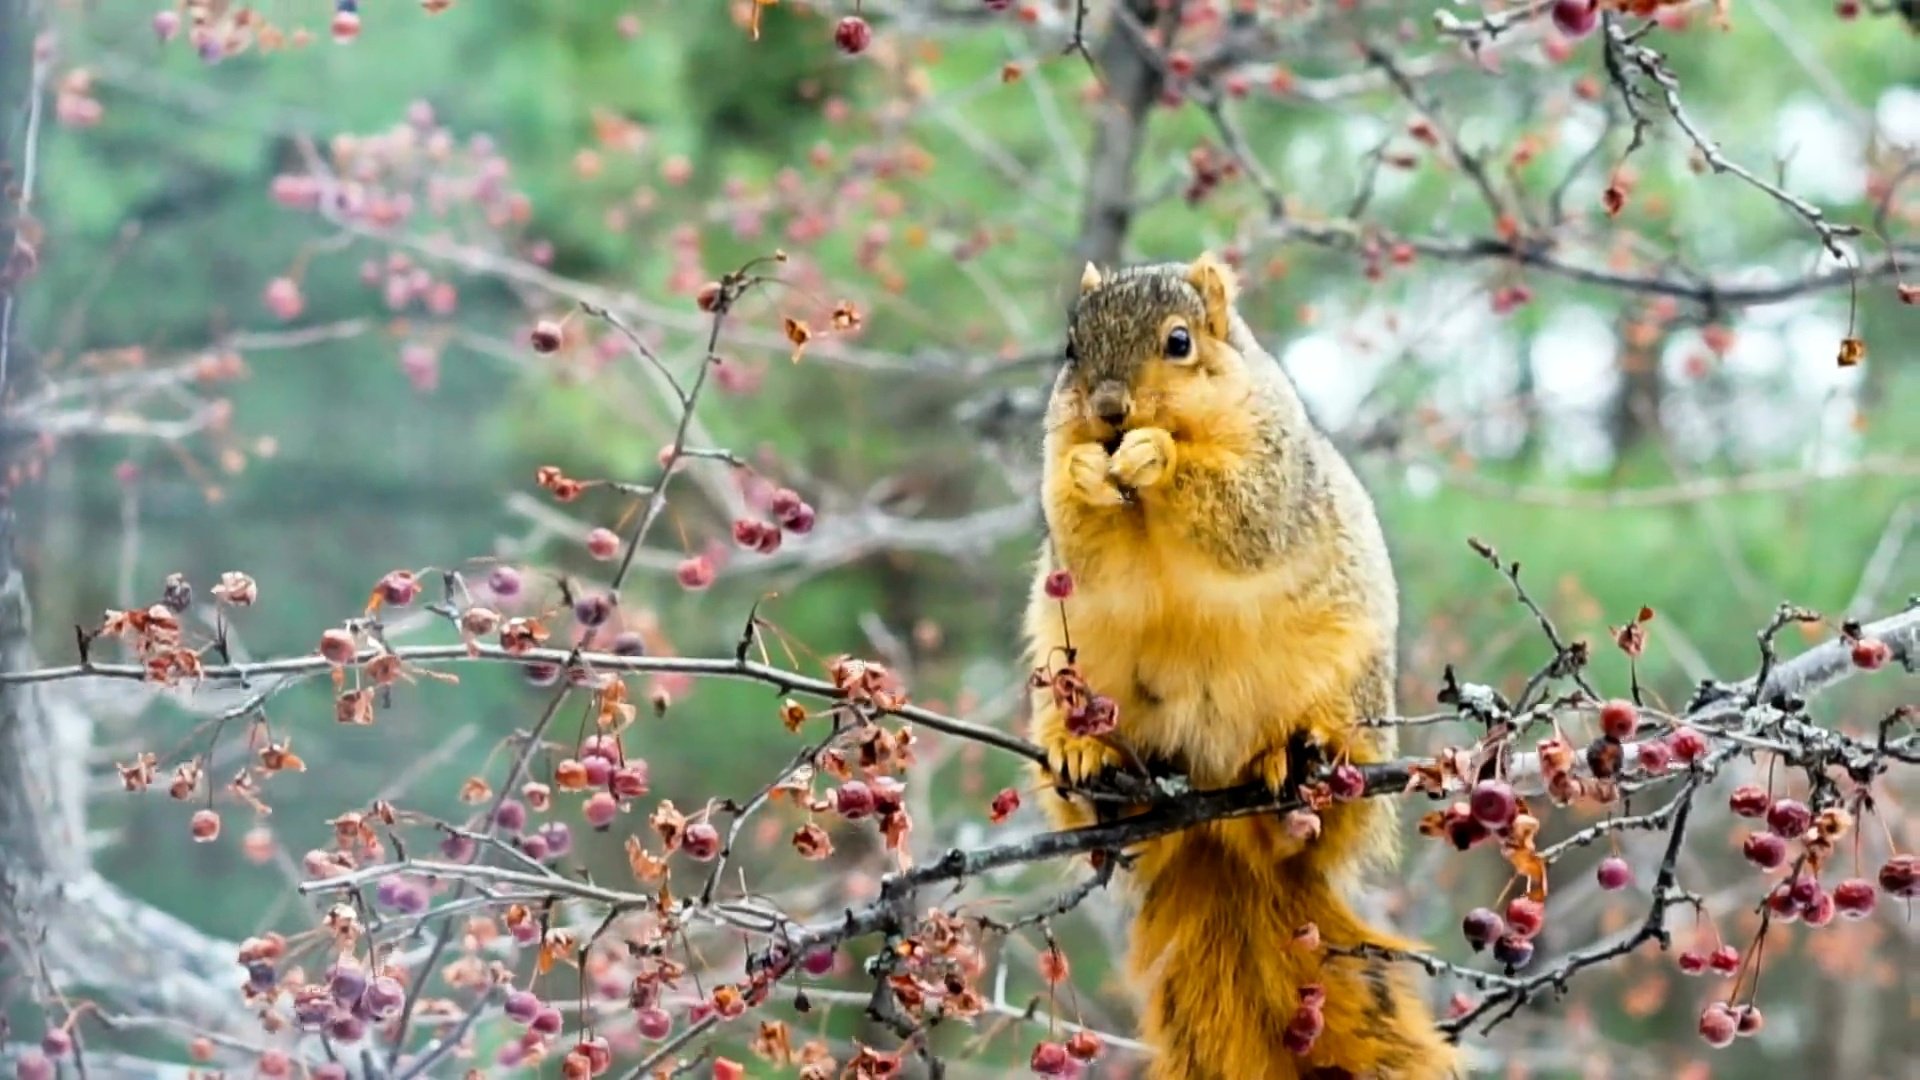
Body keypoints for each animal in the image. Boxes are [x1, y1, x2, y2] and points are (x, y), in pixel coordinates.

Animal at [1029, 253, 1459, 1076]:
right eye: (1068, 347)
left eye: (1179, 341)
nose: (1109, 408)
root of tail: (1215, 826)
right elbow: (1079, 531)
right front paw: (1085, 475)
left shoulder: (1271, 463)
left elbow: (1240, 512)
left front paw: (1156, 456)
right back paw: (1090, 767)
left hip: (1352, 698)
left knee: (1318, 821)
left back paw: (1299, 767)